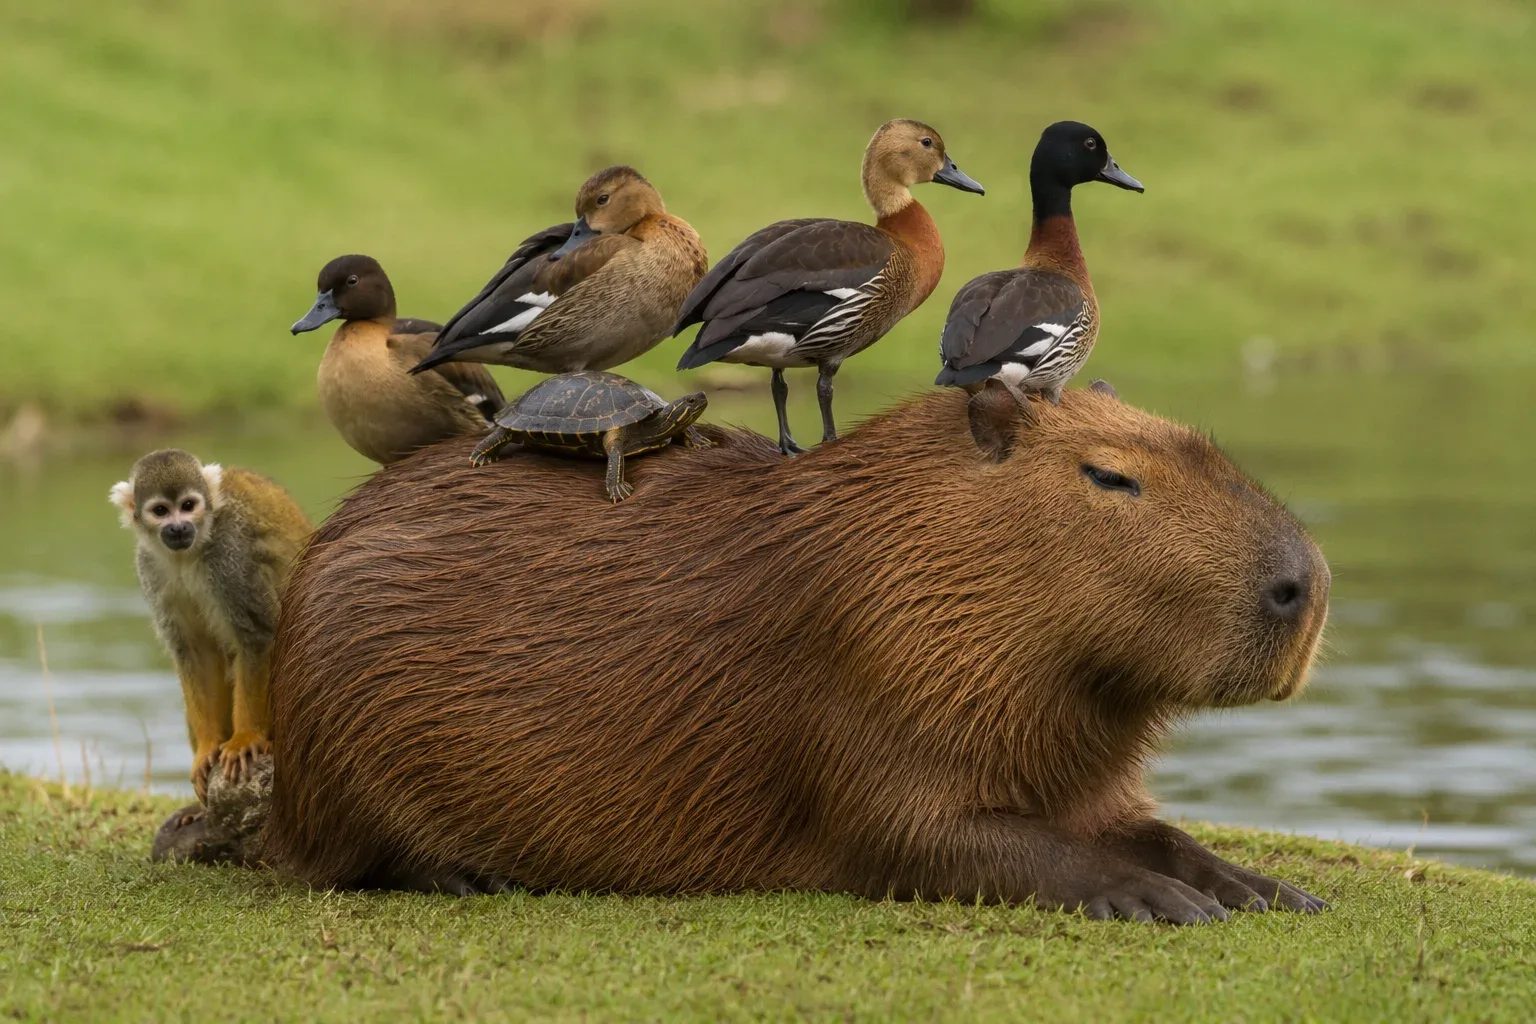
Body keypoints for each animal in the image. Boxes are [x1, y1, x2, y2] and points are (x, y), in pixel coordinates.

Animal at [110, 449, 312, 802]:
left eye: (189, 505)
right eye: (161, 511)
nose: (178, 527)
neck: (190, 552)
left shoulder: (230, 557)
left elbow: (258, 635)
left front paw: (245, 738)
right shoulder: (149, 567)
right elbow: (195, 651)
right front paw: (207, 747)